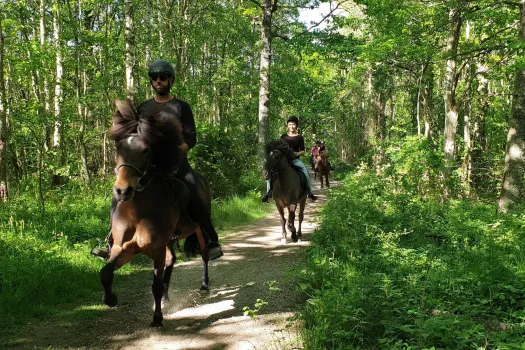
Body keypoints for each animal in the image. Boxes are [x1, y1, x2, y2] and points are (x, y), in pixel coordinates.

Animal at [99, 99, 210, 328]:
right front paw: (110, 299)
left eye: (146, 150)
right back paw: (167, 296)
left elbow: (155, 285)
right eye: (118, 147)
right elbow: (105, 273)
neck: (138, 212)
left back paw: (204, 283)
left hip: (199, 230)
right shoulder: (123, 248)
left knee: (204, 254)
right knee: (171, 261)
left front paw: (157, 318)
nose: (122, 191)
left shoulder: (156, 249)